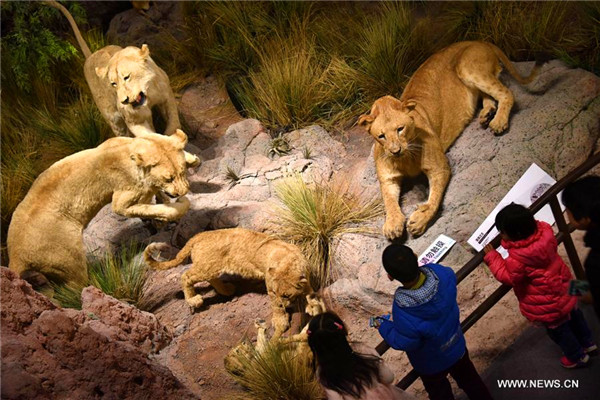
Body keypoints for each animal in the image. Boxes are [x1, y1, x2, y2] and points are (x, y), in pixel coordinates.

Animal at [45, 0, 179, 137]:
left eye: (127, 77)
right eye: (113, 84)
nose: (124, 101)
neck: (149, 94)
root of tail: (91, 55)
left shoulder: (167, 95)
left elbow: (173, 121)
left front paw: (173, 134)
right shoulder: (133, 119)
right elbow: (148, 136)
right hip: (113, 119)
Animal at [144, 230, 316, 340]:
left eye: (286, 295)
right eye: (273, 293)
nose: (283, 303)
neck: (289, 261)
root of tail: (199, 235)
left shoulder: (306, 276)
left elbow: (310, 291)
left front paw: (312, 305)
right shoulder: (269, 282)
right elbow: (276, 307)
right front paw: (280, 321)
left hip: (211, 268)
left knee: (211, 279)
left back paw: (227, 290)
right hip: (206, 268)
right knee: (186, 276)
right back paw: (194, 300)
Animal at [360, 41, 544, 241]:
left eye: (400, 129)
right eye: (381, 136)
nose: (395, 151)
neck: (405, 157)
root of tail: (479, 40)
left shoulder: (439, 167)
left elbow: (434, 198)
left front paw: (420, 219)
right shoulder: (388, 178)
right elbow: (389, 201)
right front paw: (393, 224)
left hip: (468, 67)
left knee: (506, 93)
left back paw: (498, 122)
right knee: (489, 96)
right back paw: (486, 114)